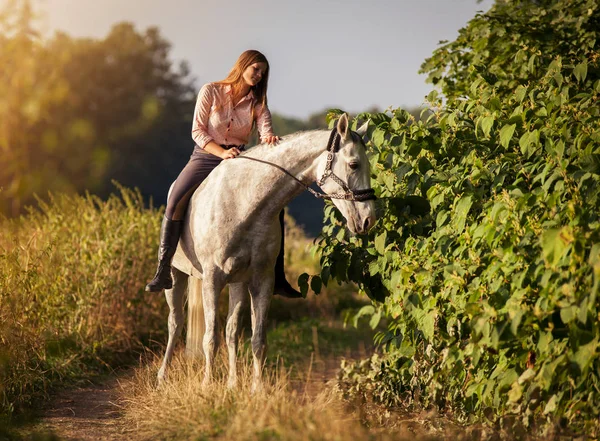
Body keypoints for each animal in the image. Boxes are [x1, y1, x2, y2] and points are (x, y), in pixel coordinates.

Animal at [157, 112, 378, 388]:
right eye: (354, 164)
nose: (369, 220)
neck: (243, 202)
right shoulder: (211, 280)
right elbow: (210, 339)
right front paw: (207, 386)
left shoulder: (261, 280)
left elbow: (257, 340)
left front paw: (256, 389)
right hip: (176, 276)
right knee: (175, 323)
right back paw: (162, 377)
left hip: (237, 283)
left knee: (231, 331)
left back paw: (232, 384)